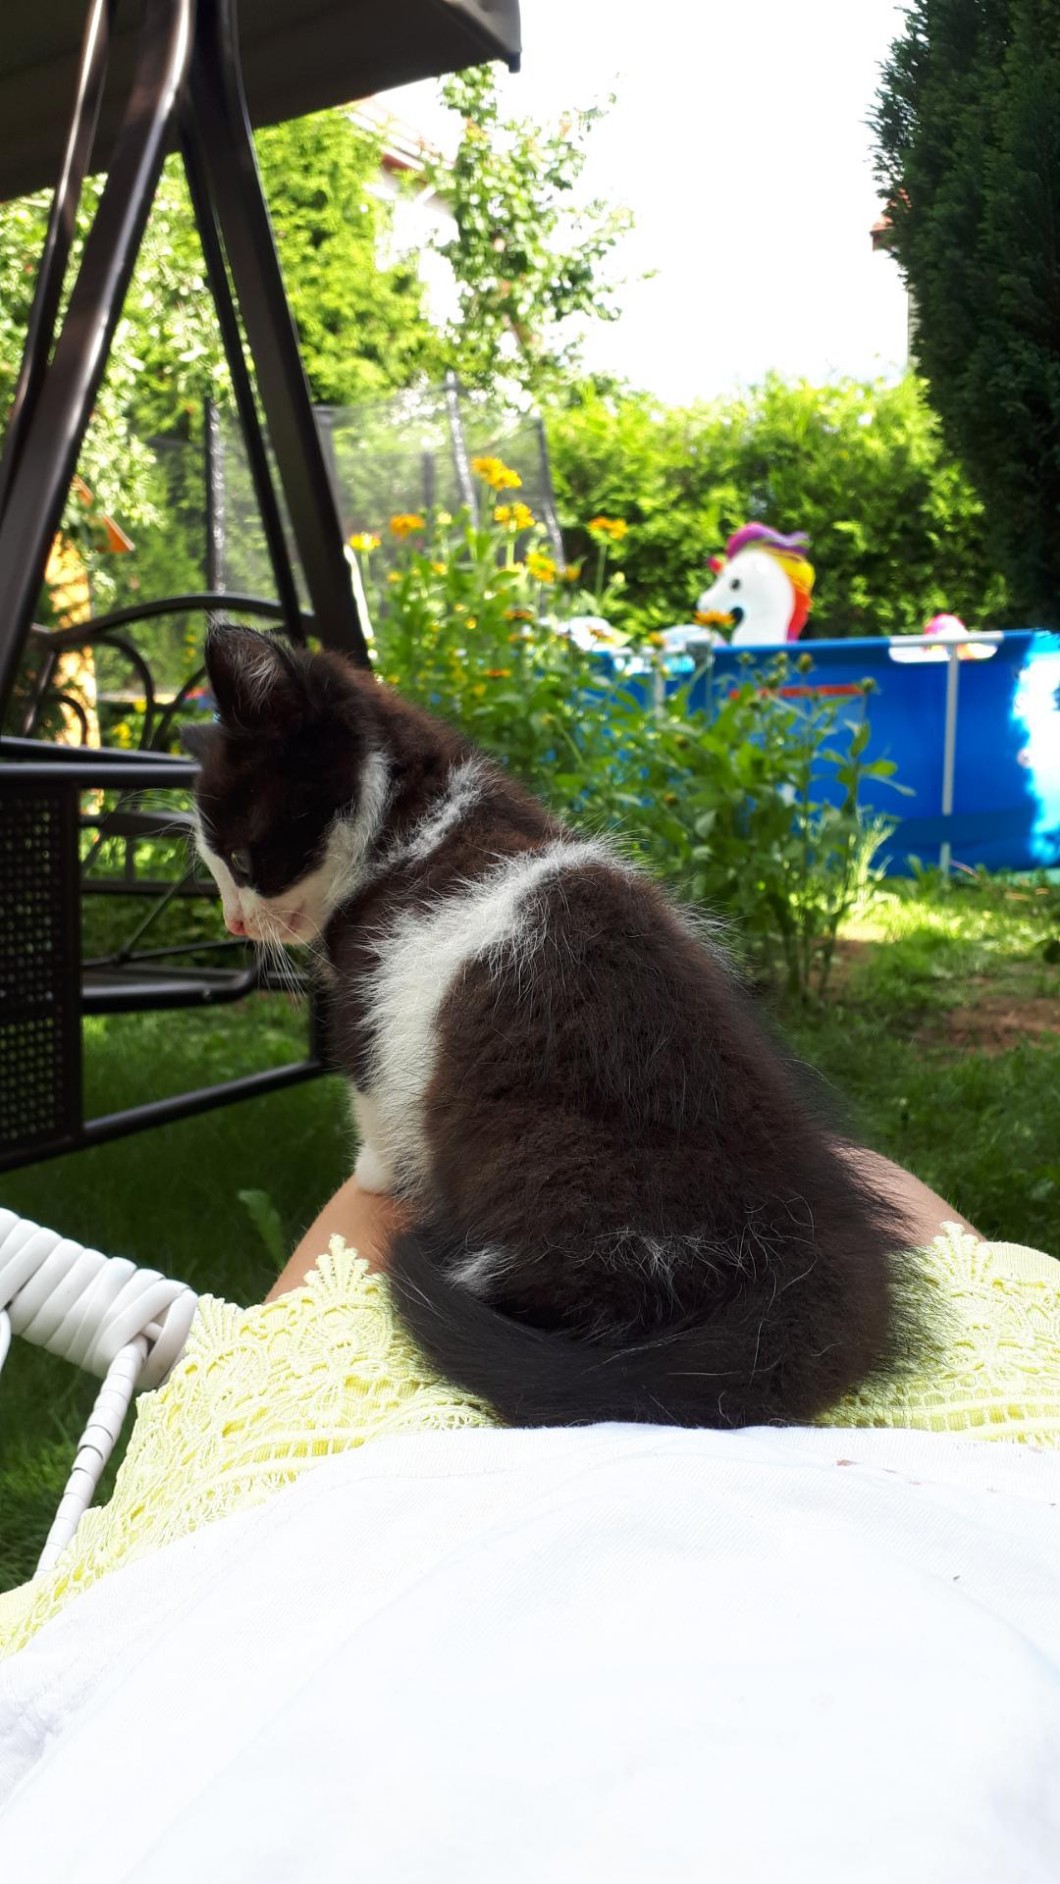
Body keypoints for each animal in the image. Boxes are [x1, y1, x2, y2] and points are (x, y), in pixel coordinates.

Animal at [185, 621, 913, 1428]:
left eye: (242, 856)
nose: (235, 921)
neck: (416, 821)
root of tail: (804, 1252)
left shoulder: (367, 992)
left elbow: (369, 1088)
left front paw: (373, 1171)